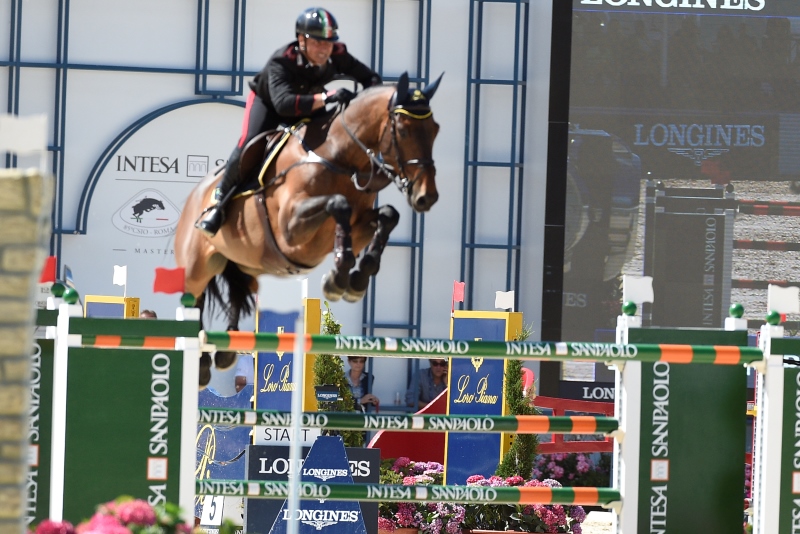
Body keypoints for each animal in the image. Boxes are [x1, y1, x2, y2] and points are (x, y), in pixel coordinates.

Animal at [174, 72, 444, 390]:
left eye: (435, 129)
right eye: (402, 130)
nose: (426, 197)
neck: (338, 158)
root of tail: (195, 196)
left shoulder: (357, 225)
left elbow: (388, 216)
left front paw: (356, 278)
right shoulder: (290, 229)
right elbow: (338, 204)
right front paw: (338, 278)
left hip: (246, 265)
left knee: (238, 292)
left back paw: (226, 350)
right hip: (196, 265)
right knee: (194, 299)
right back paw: (203, 364)